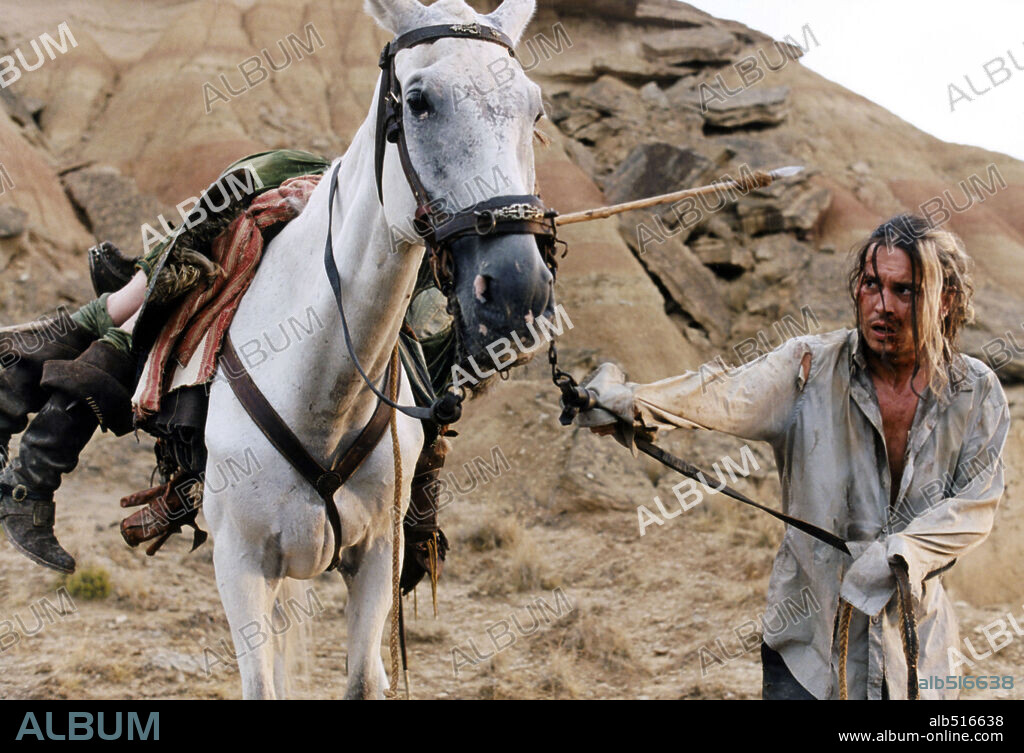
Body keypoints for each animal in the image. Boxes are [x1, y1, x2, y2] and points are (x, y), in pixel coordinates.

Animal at [199, 0, 552, 696]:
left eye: (535, 111)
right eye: (417, 102)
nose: (517, 292)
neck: (322, 392)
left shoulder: (377, 560)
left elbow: (364, 678)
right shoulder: (240, 566)